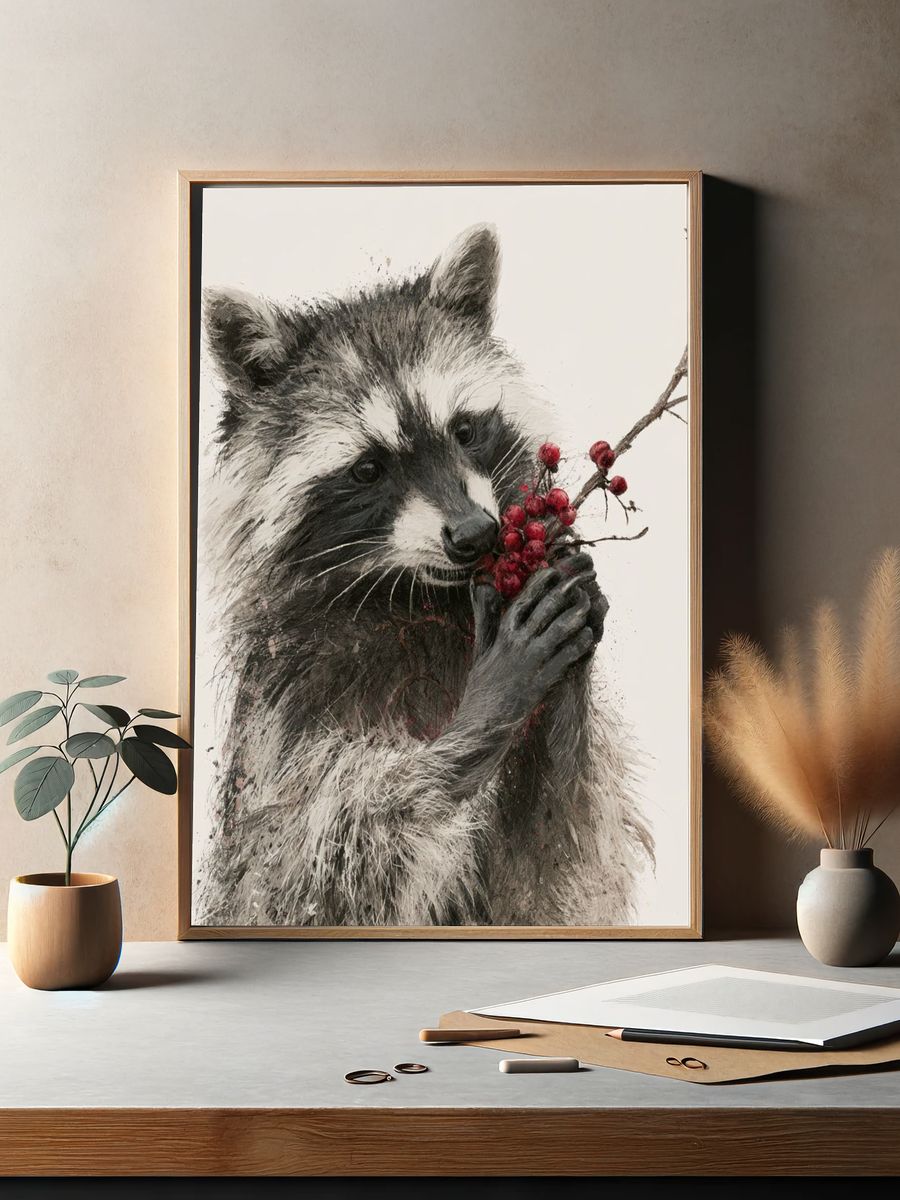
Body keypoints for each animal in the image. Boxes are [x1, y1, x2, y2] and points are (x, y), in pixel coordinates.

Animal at [198, 224, 651, 928]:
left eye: (464, 430)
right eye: (367, 468)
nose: (475, 536)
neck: (416, 601)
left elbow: (556, 869)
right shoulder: (284, 713)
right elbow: (311, 868)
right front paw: (491, 703)